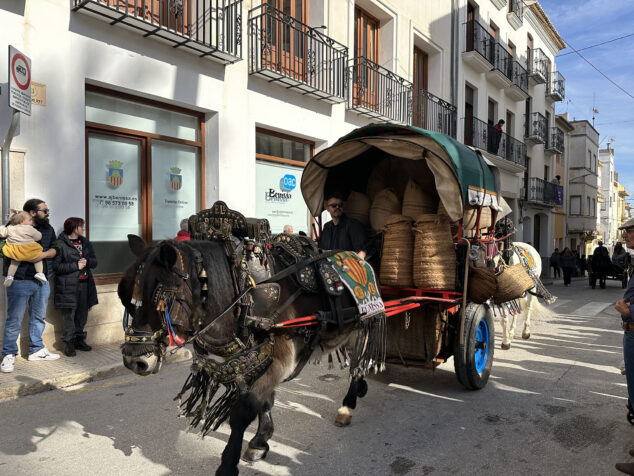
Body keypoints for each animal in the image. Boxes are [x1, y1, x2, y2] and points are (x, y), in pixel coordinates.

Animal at [118, 235, 376, 476]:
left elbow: (243, 412)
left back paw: (348, 405)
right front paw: (261, 440)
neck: (244, 296)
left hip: (363, 326)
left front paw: (228, 464)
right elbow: (265, 401)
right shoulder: (251, 360)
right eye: (124, 297)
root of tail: (360, 257)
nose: (134, 361)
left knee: (360, 363)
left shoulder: (278, 357)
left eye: (160, 300)